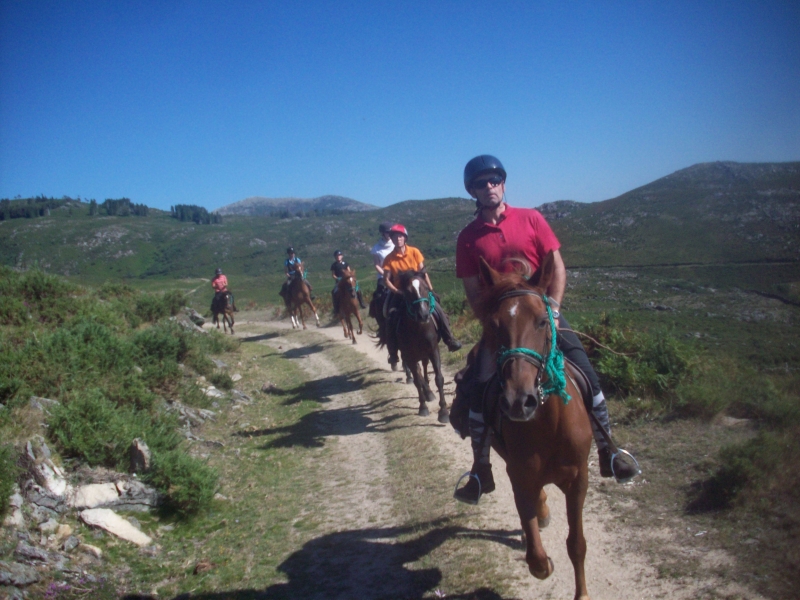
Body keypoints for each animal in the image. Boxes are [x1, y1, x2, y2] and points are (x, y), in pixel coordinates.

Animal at [390, 270, 446, 424]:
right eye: (408, 292)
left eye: (426, 288)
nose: (423, 315)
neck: (418, 329)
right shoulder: (410, 356)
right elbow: (416, 381)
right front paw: (423, 407)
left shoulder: (433, 351)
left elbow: (439, 379)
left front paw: (443, 412)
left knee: (425, 367)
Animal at [476, 254, 592, 600]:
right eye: (494, 325)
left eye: (542, 321)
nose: (518, 401)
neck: (550, 426)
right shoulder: (519, 475)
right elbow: (538, 563)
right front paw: (540, 555)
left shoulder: (579, 480)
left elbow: (577, 544)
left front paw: (582, 594)